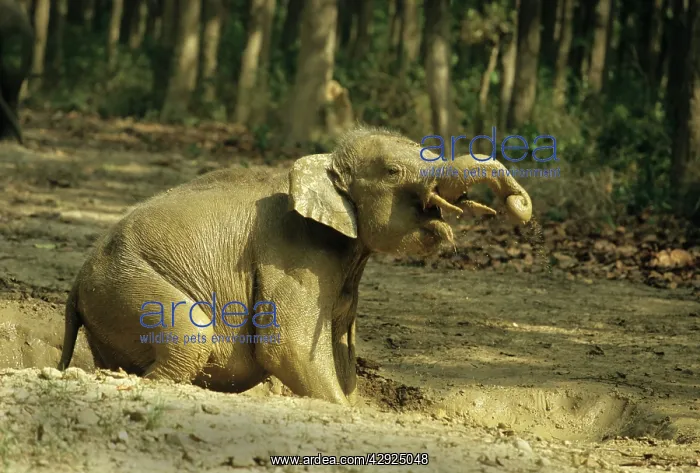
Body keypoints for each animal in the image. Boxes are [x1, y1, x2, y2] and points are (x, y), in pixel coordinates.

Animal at [57, 126, 533, 406]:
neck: (320, 167)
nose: (518, 207)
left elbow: (342, 352)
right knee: (189, 334)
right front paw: (343, 411)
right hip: (127, 284)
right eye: (394, 171)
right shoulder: (295, 254)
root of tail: (75, 283)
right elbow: (288, 345)